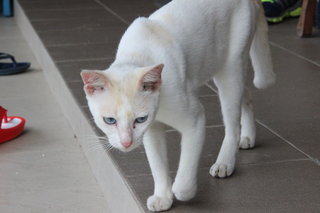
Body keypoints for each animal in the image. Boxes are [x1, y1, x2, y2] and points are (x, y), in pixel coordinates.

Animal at [80, 0, 276, 211]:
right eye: (109, 120)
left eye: (140, 119)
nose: (126, 143)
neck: (136, 56)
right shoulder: (152, 129)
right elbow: (157, 165)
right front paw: (163, 197)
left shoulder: (195, 119)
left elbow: (185, 172)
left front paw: (181, 192)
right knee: (246, 95)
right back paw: (248, 137)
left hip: (230, 71)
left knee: (233, 124)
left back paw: (225, 162)